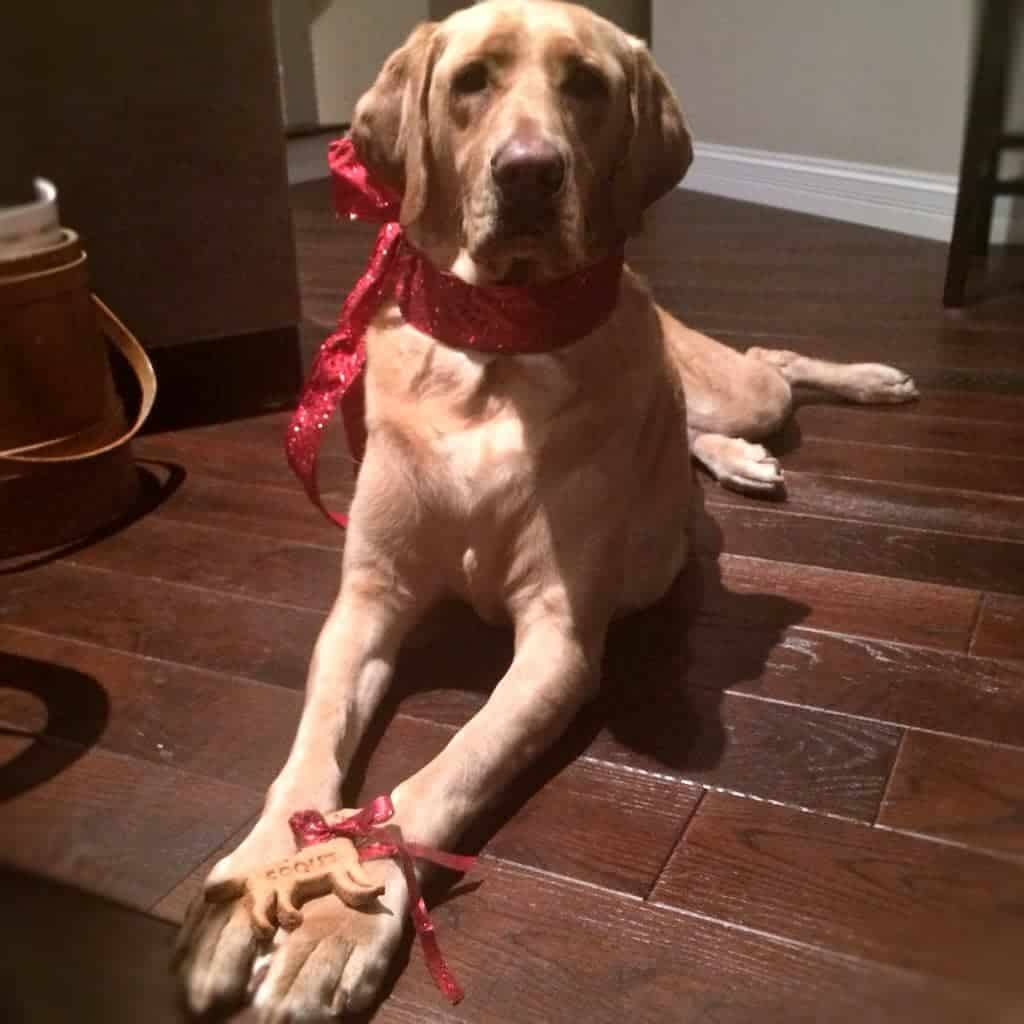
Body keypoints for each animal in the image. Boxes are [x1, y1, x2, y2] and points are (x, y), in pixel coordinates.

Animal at [178, 0, 921, 1015]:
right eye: (471, 81)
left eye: (586, 85)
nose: (529, 172)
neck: (496, 350)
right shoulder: (366, 603)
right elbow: (307, 755)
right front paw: (254, 876)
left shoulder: (559, 643)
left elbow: (444, 774)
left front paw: (342, 917)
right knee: (696, 434)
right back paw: (733, 463)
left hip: (742, 388)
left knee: (770, 362)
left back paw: (870, 382)